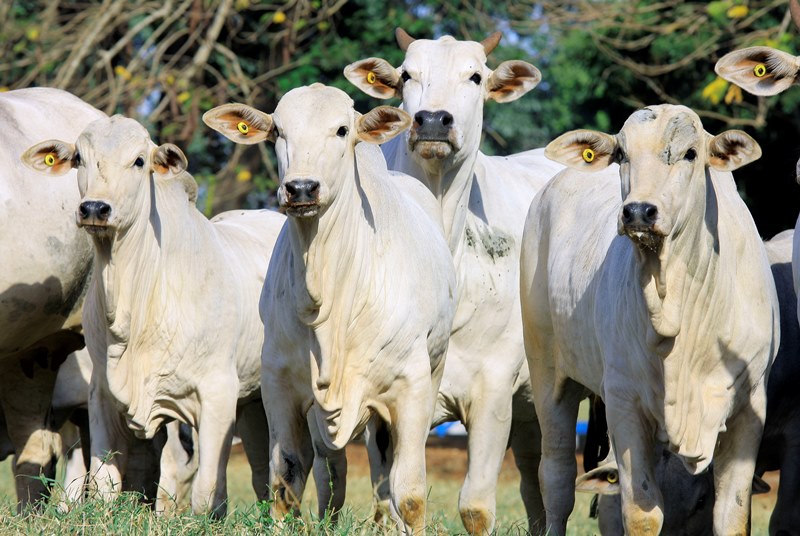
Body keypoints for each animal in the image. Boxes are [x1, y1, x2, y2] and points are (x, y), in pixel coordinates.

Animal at [21, 116, 285, 516]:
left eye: (139, 161)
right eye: (80, 158)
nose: (94, 209)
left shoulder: (218, 394)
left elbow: (205, 491)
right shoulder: (100, 397)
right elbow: (103, 484)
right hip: (253, 402)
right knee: (260, 474)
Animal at [202, 83, 457, 534]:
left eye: (342, 130)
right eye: (278, 131)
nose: (302, 188)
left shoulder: (410, 386)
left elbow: (409, 493)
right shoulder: (279, 385)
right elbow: (285, 482)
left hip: (431, 370)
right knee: (333, 469)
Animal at [344, 29, 563, 534]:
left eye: (476, 76)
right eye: (407, 74)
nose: (432, 119)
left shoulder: (493, 391)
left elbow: (476, 506)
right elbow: (391, 504)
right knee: (535, 484)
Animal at [520, 104, 777, 535]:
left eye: (691, 153)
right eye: (622, 154)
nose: (638, 211)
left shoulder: (750, 406)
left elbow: (732, 512)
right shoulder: (624, 402)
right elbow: (641, 512)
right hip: (548, 375)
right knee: (555, 480)